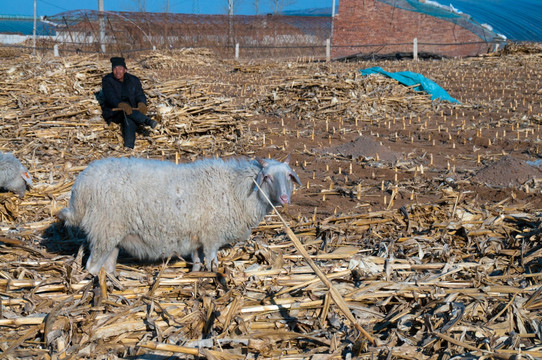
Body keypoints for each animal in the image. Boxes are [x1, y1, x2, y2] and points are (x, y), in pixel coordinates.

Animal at [60, 155, 306, 276]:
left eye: (289, 176)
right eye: (268, 177)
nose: (285, 198)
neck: (237, 189)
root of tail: (80, 186)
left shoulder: (197, 235)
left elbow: (197, 260)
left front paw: (196, 273)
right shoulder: (211, 236)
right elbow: (211, 260)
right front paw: (212, 274)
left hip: (112, 234)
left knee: (107, 264)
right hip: (105, 229)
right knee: (92, 267)